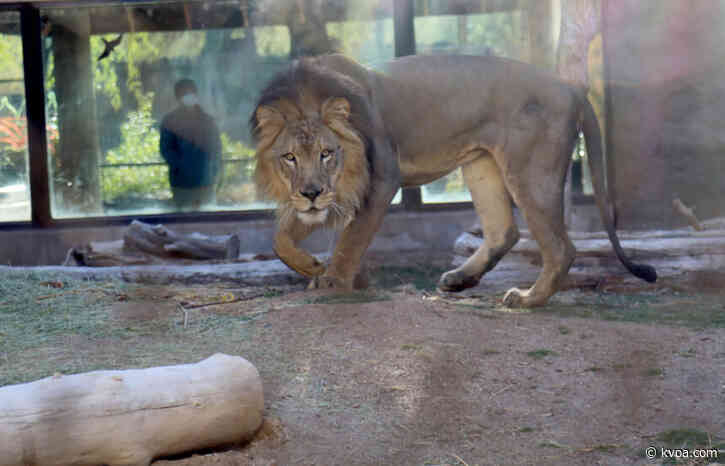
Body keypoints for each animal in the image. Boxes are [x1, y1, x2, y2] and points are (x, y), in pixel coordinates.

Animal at [250, 54, 656, 307]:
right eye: (289, 157)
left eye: (326, 153)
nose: (311, 193)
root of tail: (572, 88)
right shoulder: (325, 196)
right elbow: (280, 239)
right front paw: (312, 266)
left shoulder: (381, 178)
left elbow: (352, 239)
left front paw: (334, 279)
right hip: (481, 165)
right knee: (504, 232)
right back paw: (460, 279)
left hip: (529, 171)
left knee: (560, 247)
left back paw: (527, 300)